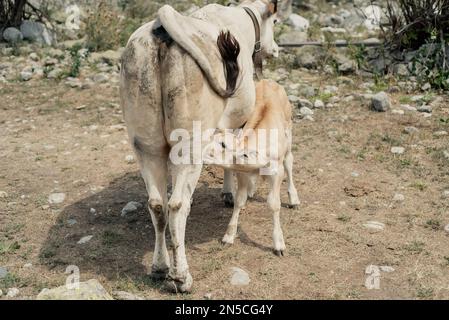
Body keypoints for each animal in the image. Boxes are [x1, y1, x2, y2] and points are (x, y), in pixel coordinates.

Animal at [121, 0, 278, 292]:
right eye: (275, 22)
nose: (276, 49)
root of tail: (161, 26)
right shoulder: (233, 120)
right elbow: (230, 158)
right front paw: (229, 193)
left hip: (146, 144)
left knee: (158, 205)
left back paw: (159, 267)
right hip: (190, 145)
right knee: (176, 206)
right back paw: (181, 276)